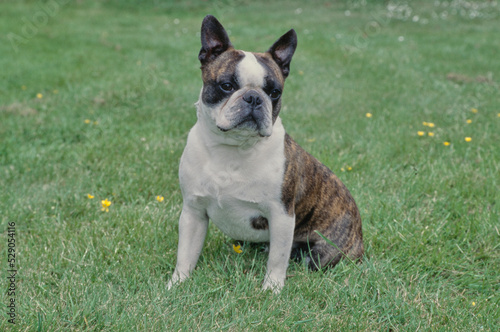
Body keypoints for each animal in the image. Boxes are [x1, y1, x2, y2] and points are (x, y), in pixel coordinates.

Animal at [168, 14, 364, 294]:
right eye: (226, 86)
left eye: (274, 93)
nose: (253, 98)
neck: (233, 149)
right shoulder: (193, 212)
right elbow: (185, 253)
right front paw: (177, 284)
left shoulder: (281, 215)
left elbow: (277, 259)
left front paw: (271, 289)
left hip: (322, 253)